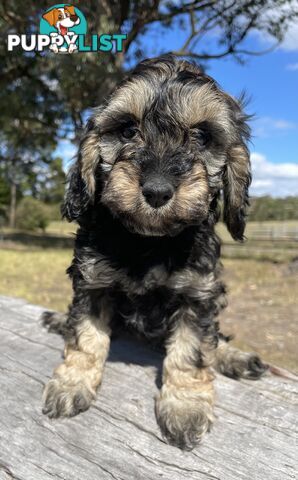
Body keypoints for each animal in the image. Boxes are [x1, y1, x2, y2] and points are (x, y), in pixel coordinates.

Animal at [42, 56, 268, 450]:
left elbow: (193, 350)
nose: (158, 190)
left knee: (214, 340)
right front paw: (71, 383)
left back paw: (234, 357)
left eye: (202, 136)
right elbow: (85, 336)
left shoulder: (198, 292)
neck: (149, 241)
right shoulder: (92, 281)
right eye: (128, 130)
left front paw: (185, 407)